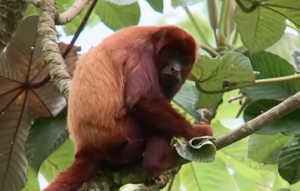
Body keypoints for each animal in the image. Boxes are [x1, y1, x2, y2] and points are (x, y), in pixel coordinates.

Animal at [42, 25, 213, 191]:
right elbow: (141, 100)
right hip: (125, 140)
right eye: (170, 54)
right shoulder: (142, 51)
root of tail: (86, 151)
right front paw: (196, 132)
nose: (176, 69)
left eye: (184, 61)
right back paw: (157, 163)